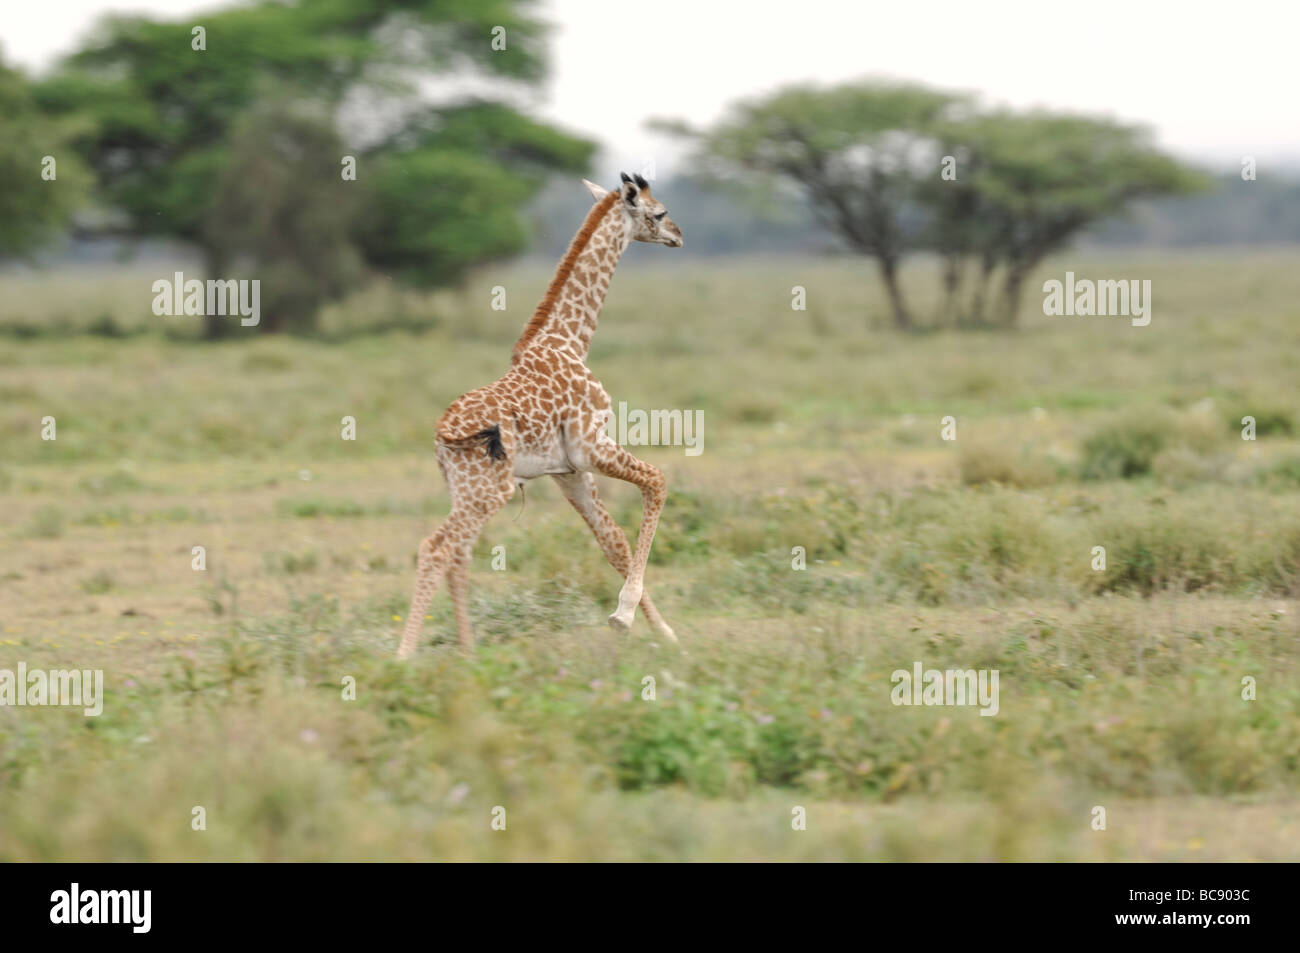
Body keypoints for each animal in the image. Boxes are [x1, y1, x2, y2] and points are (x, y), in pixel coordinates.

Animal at [392, 174, 681, 657]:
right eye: (658, 213)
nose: (678, 235)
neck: (570, 341)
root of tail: (440, 436)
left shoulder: (569, 473)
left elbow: (614, 542)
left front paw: (663, 633)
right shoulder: (592, 448)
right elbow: (658, 482)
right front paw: (624, 617)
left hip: (467, 490)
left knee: (458, 555)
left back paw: (468, 653)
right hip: (489, 491)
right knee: (436, 549)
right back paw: (404, 657)